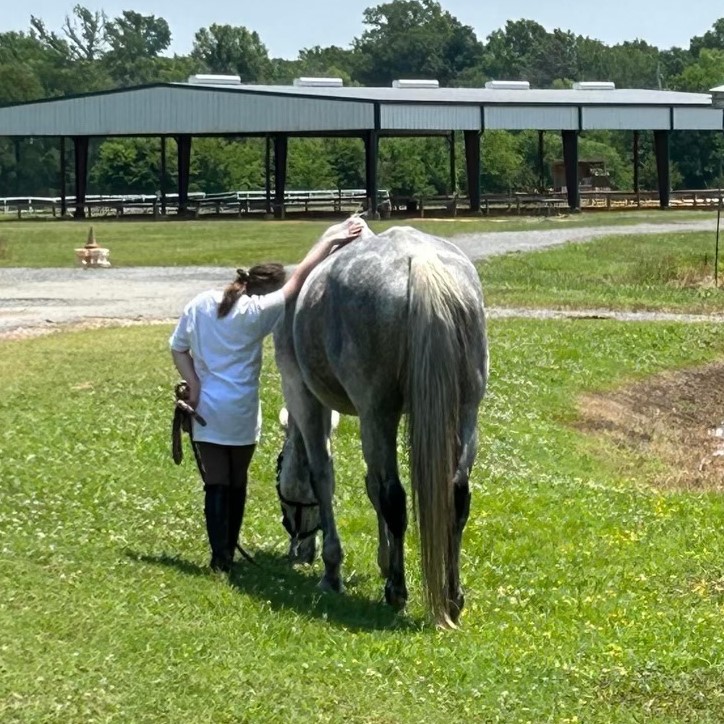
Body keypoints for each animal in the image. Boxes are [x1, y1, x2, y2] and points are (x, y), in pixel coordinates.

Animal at [274, 222, 490, 628]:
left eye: (278, 476)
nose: (299, 548)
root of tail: (420, 261)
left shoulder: (305, 396)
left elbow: (323, 474)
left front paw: (333, 569)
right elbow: (371, 486)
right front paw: (384, 559)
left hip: (377, 413)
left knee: (395, 497)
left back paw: (398, 592)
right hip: (465, 410)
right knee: (456, 494)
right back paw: (452, 598)